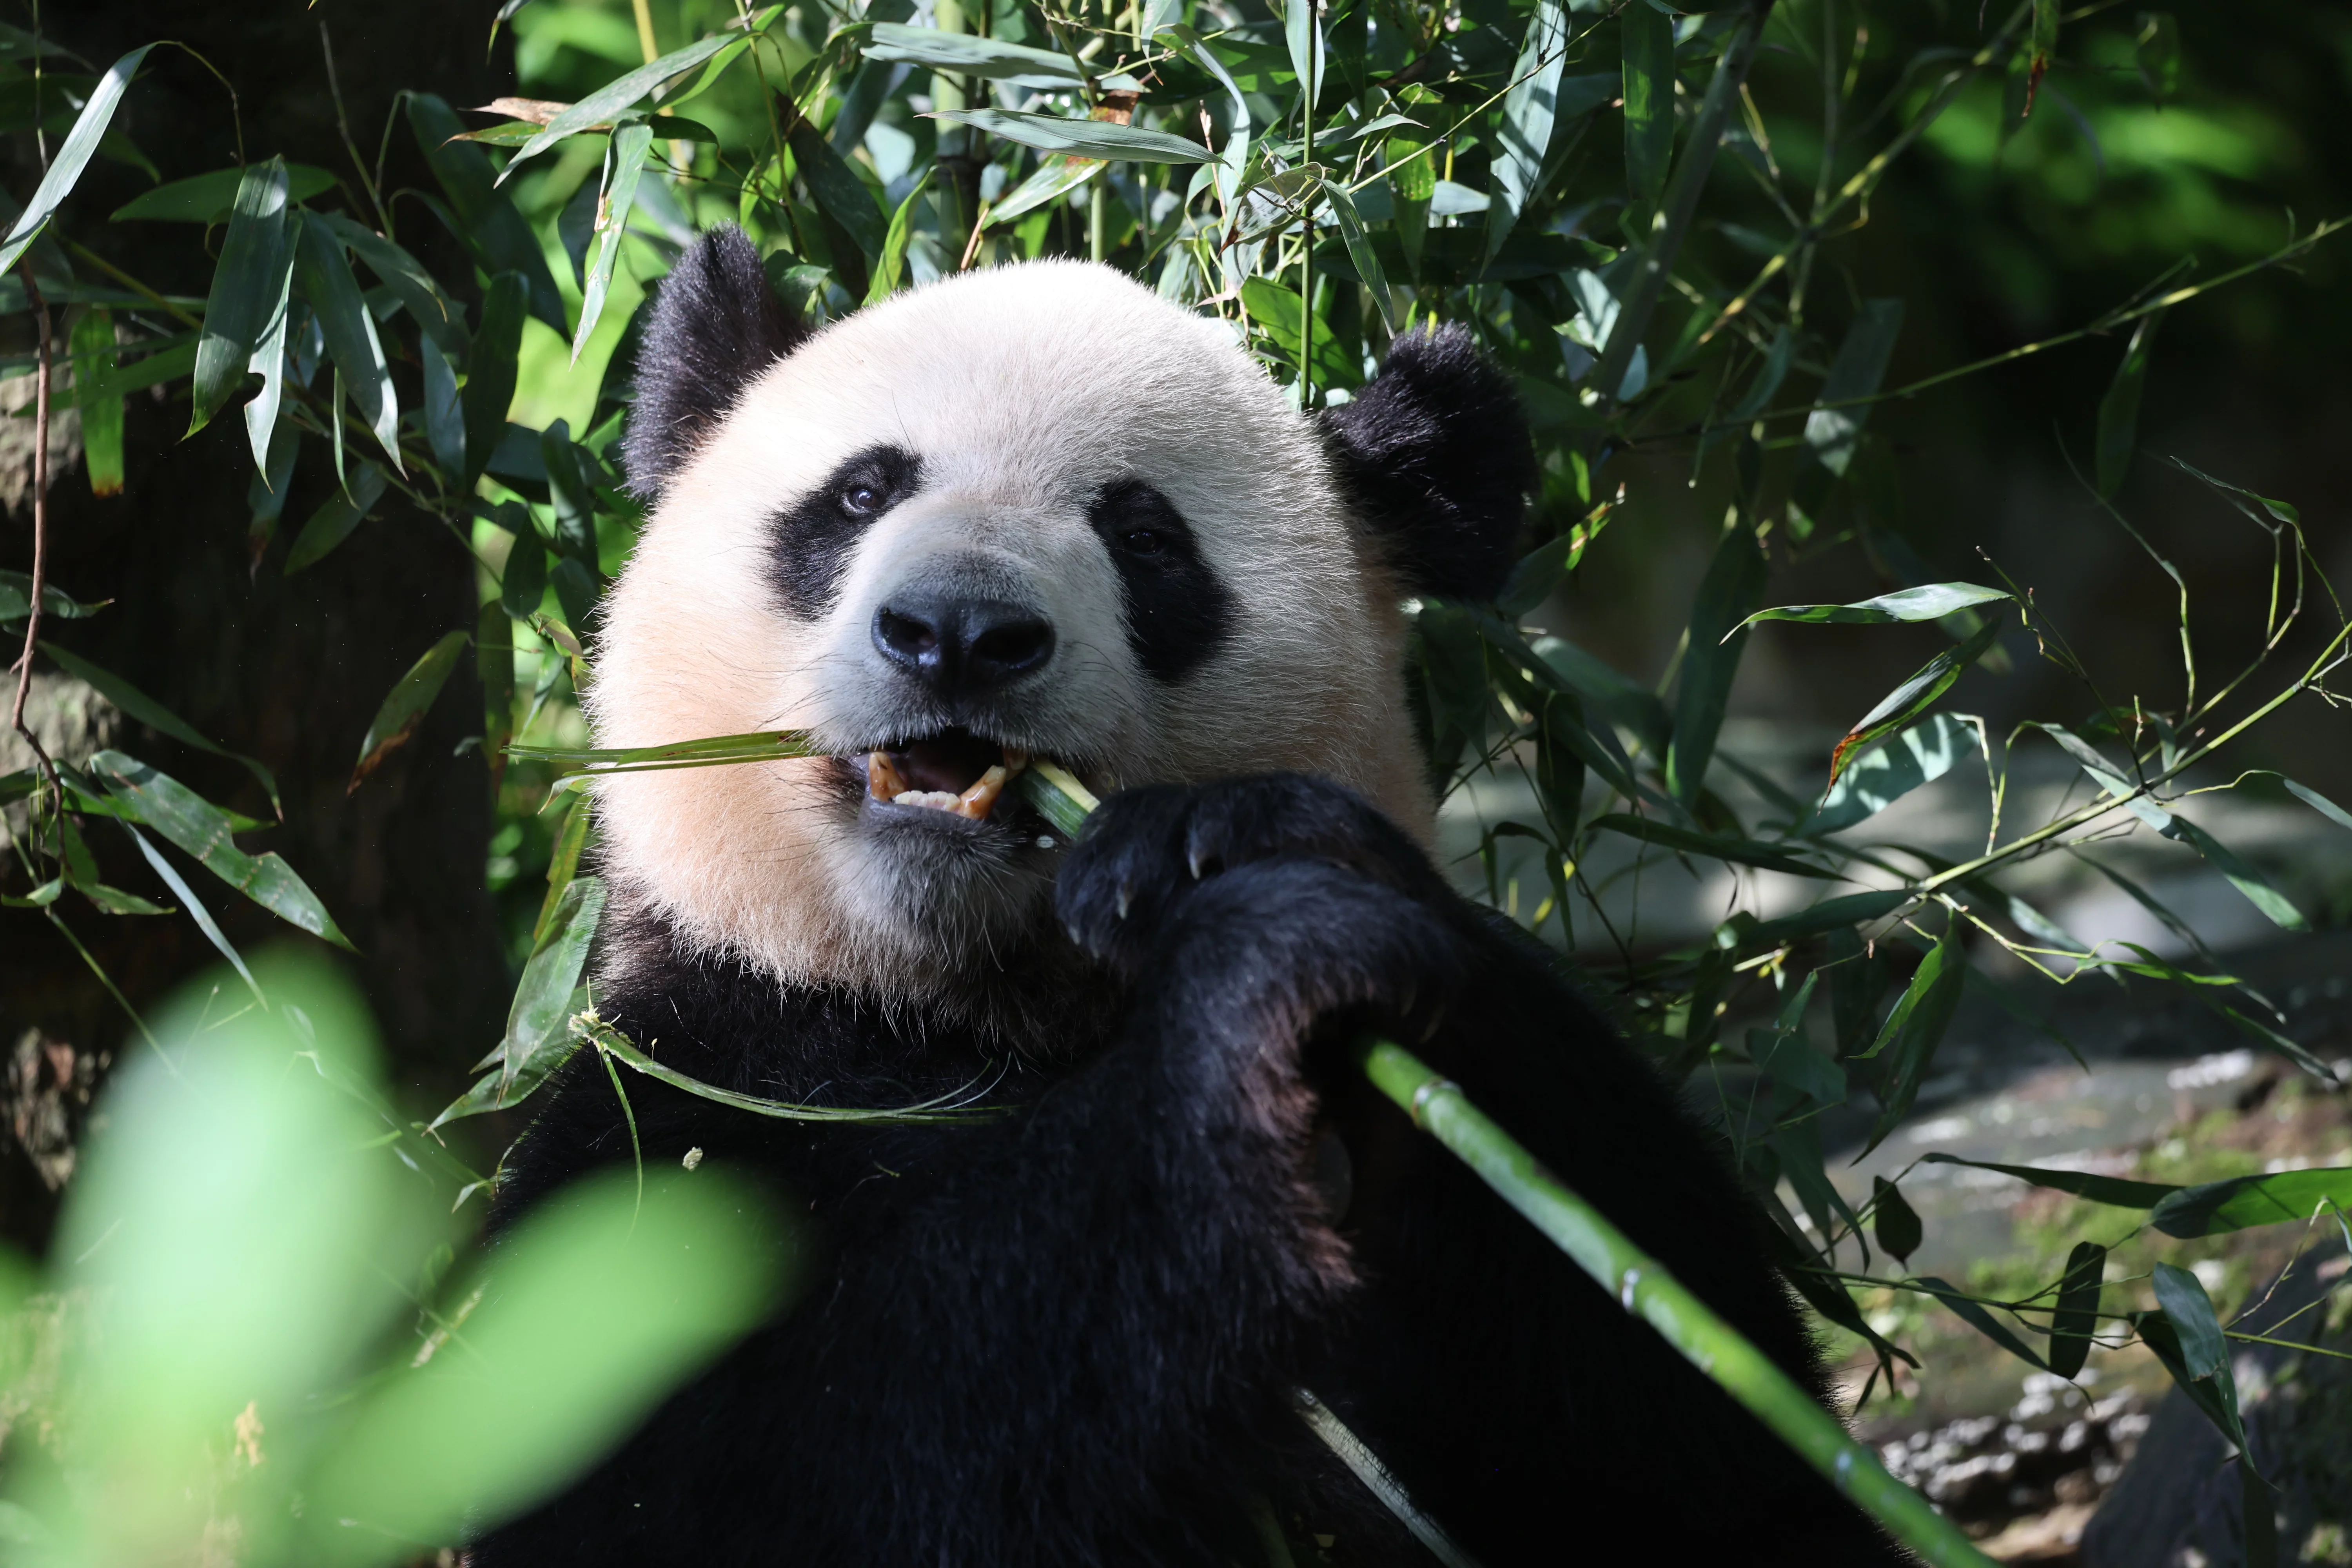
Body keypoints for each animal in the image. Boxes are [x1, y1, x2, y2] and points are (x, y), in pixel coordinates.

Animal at [475, 227, 1905, 1567]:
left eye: (1146, 539)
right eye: (861, 491)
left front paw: (1246, 854)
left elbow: (1710, 1457)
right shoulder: (698, 1083)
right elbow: (724, 1478)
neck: (967, 1005)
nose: (959, 632)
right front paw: (1248, 987)